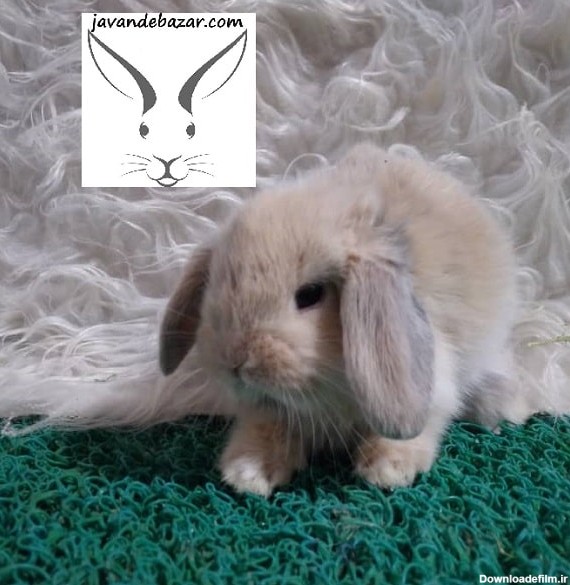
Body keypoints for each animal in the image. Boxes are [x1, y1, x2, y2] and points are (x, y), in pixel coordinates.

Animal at [159, 142, 521, 496]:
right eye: (216, 283)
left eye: (310, 294)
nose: (235, 361)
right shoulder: (270, 409)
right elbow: (267, 429)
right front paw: (249, 472)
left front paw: (386, 470)